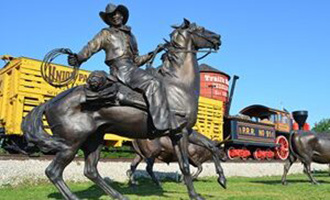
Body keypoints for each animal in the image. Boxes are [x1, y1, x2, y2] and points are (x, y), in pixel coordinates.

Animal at [22, 19, 224, 200]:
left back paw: (119, 195)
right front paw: (196, 195)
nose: (218, 38)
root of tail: (50, 103)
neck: (178, 86)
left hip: (93, 140)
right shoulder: (181, 132)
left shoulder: (181, 132)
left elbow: (209, 147)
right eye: (200, 29)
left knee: (90, 170)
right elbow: (186, 166)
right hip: (71, 144)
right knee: (53, 172)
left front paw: (221, 179)